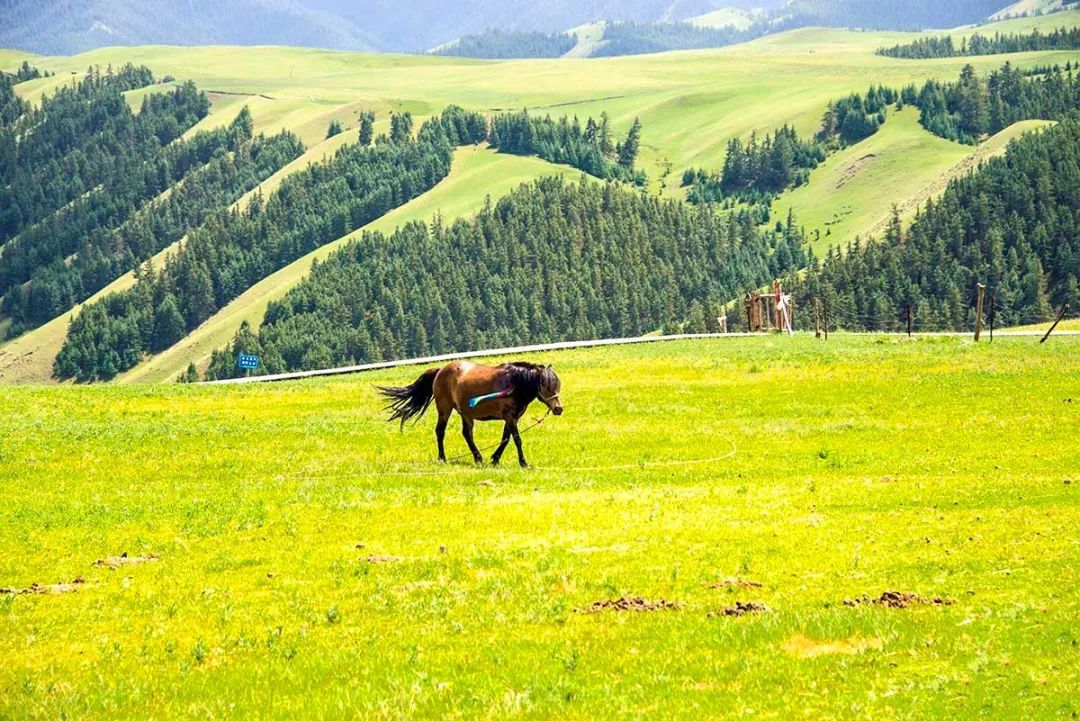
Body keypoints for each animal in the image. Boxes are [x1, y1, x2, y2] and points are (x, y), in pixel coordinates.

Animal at [380, 360, 565, 468]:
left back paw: (478, 457)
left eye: (557, 385)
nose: (558, 409)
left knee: (467, 434)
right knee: (440, 431)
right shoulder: (510, 416)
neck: (513, 383)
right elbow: (516, 439)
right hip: (445, 409)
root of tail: (441, 370)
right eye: (546, 385)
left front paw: (495, 459)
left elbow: (505, 439)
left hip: (466, 413)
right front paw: (523, 463)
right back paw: (443, 458)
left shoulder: (512, 418)